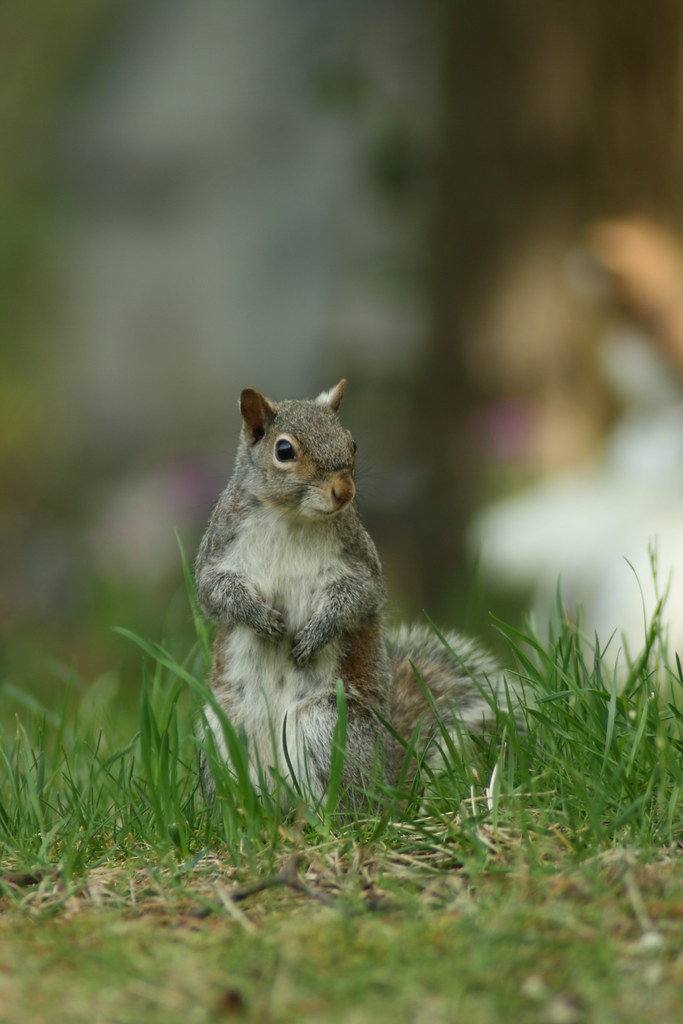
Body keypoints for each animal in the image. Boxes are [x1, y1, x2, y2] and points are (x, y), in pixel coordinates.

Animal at [194, 380, 503, 805]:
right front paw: (260, 618)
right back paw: (239, 811)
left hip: (326, 726)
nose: (343, 490)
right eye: (284, 451)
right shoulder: (219, 547)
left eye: (352, 443)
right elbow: (214, 591)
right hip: (221, 729)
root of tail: (385, 780)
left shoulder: (359, 561)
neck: (292, 518)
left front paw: (316, 634)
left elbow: (358, 598)